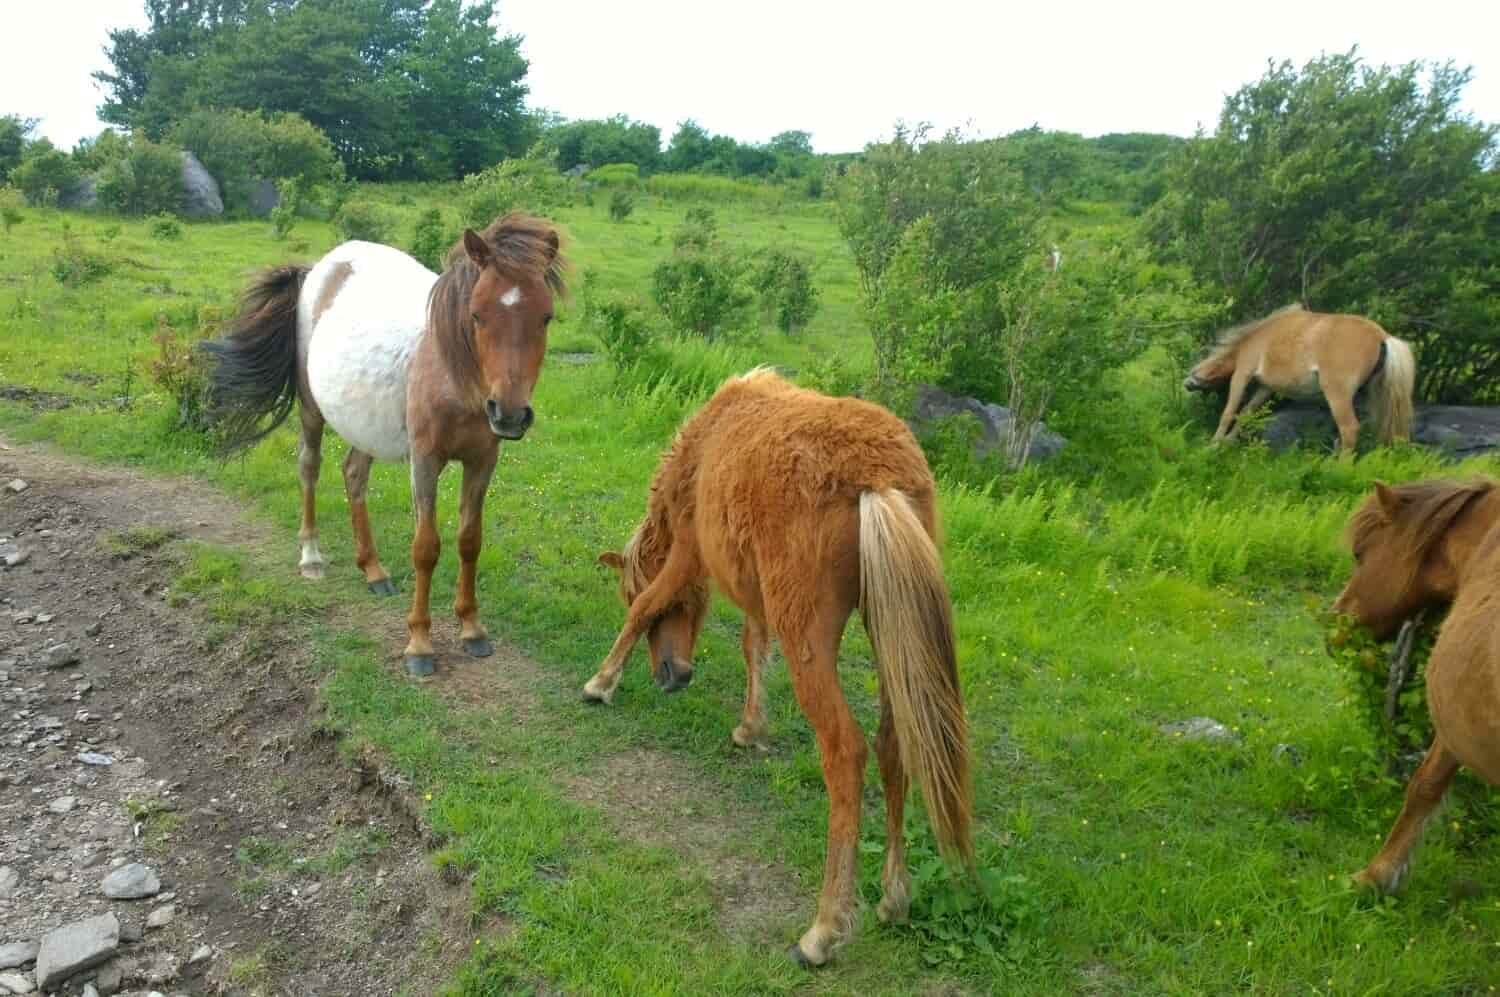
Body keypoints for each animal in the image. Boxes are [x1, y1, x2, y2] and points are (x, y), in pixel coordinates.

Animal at [201, 213, 567, 677]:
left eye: (546, 317)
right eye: (477, 314)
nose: (510, 413)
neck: (452, 372)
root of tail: (320, 268)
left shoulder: (483, 460)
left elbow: (470, 541)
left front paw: (472, 628)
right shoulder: (425, 462)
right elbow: (426, 548)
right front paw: (419, 645)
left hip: (365, 426)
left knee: (353, 475)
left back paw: (373, 570)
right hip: (311, 410)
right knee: (309, 468)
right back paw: (312, 558)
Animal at [584, 369, 973, 967]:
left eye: (625, 588)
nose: (674, 677)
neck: (705, 446)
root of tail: (879, 479)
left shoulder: (689, 554)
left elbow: (647, 605)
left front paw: (602, 681)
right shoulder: (755, 595)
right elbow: (752, 644)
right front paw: (751, 726)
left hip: (811, 643)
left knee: (846, 752)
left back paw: (824, 929)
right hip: (888, 635)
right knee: (892, 744)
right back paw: (893, 899)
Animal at [1183, 304, 1416, 452]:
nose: (1187, 383)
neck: (1260, 335)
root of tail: (1382, 336)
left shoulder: (1243, 374)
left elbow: (1230, 411)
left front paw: (1214, 445)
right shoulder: (1265, 388)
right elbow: (1248, 413)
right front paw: (1228, 442)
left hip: (1337, 393)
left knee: (1350, 429)